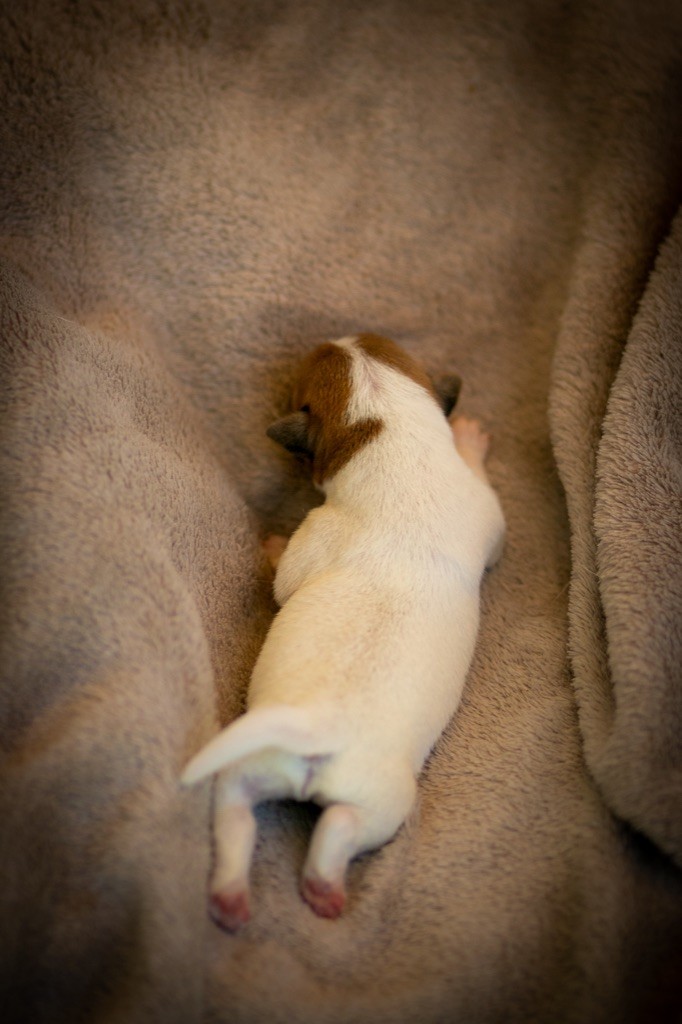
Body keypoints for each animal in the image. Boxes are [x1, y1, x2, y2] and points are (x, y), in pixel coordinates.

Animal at [182, 334, 505, 931]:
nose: (336, 336)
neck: (391, 443)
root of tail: (316, 729)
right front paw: (467, 437)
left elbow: (285, 581)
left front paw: (468, 437)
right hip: (309, 778)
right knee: (275, 819)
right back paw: (260, 894)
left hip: (339, 787)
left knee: (290, 822)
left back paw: (275, 892)